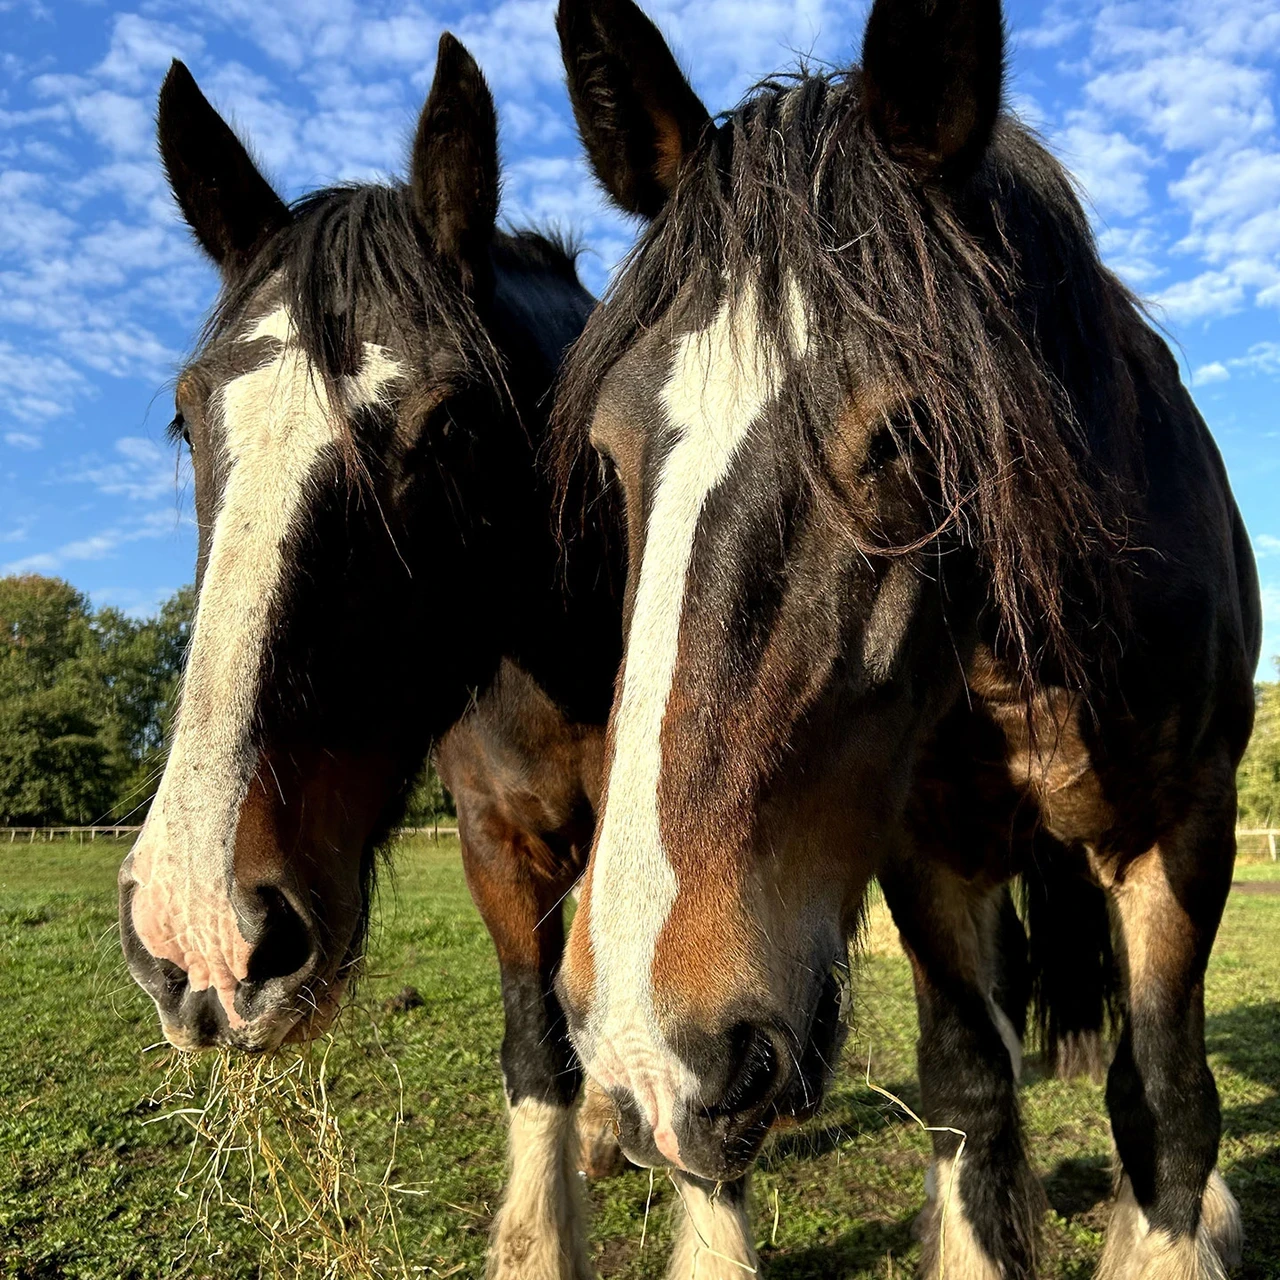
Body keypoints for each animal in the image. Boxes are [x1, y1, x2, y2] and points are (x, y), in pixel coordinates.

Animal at [551, 0, 1262, 1275]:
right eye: (611, 452)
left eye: (901, 436)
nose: (648, 1043)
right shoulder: (926, 849)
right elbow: (970, 1094)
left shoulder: (1182, 828)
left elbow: (1168, 1102)